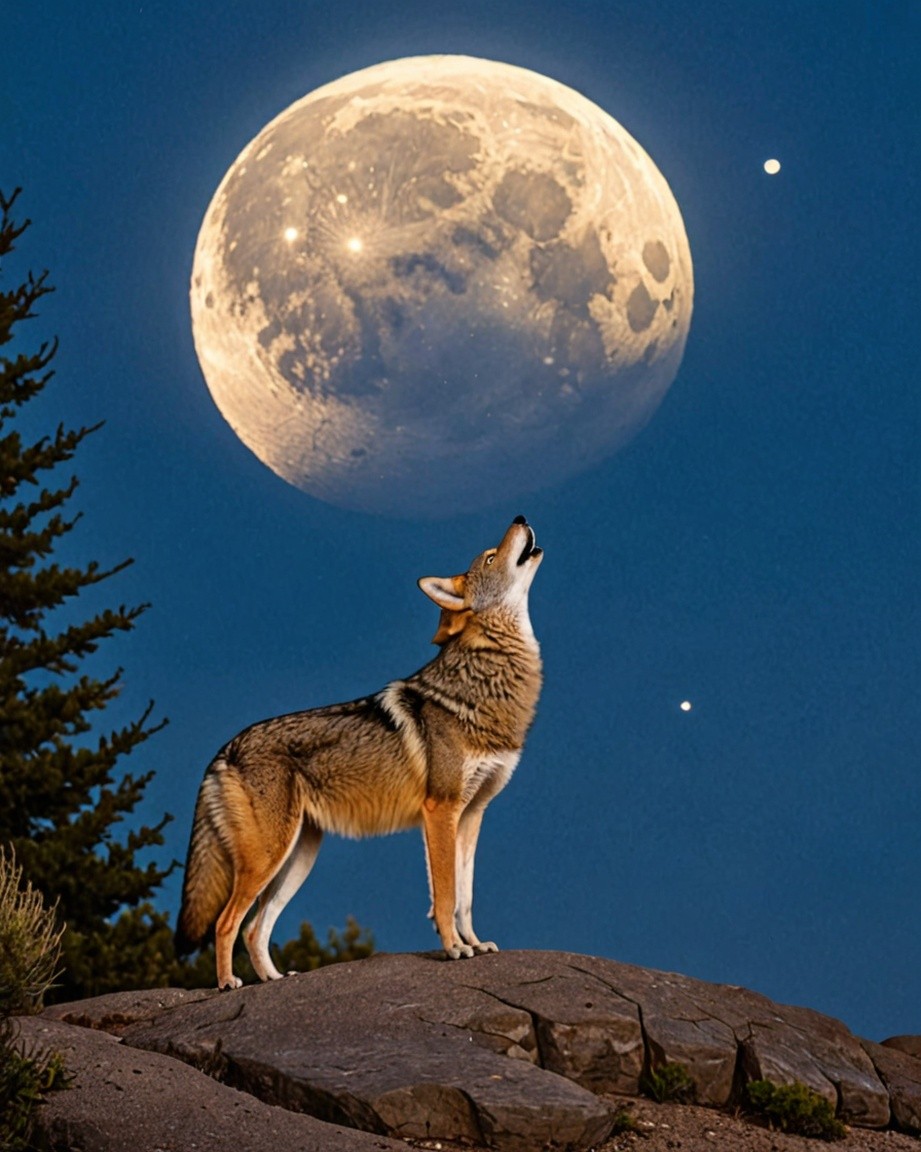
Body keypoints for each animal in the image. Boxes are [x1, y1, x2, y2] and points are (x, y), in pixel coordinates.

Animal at [175, 517, 543, 989]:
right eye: (492, 557)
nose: (520, 519)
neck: (490, 682)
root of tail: (223, 750)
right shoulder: (440, 810)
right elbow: (445, 895)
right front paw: (454, 949)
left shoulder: (471, 815)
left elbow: (465, 897)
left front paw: (474, 944)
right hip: (268, 859)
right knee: (227, 923)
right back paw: (227, 984)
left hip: (299, 858)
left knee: (255, 927)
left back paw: (274, 979)